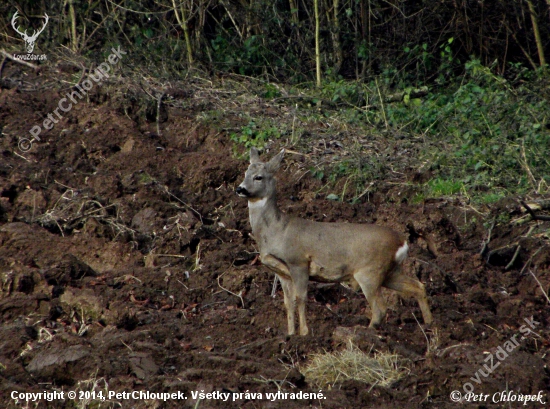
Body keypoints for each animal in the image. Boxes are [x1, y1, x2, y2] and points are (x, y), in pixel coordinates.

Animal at [237, 147, 436, 334]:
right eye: (245, 173)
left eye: (258, 177)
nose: (240, 188)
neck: (276, 231)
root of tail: (402, 242)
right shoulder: (281, 272)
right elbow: (288, 302)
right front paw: (290, 334)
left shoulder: (298, 262)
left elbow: (301, 298)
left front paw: (304, 333)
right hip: (390, 271)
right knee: (418, 286)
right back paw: (429, 324)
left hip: (369, 271)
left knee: (380, 308)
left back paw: (364, 332)